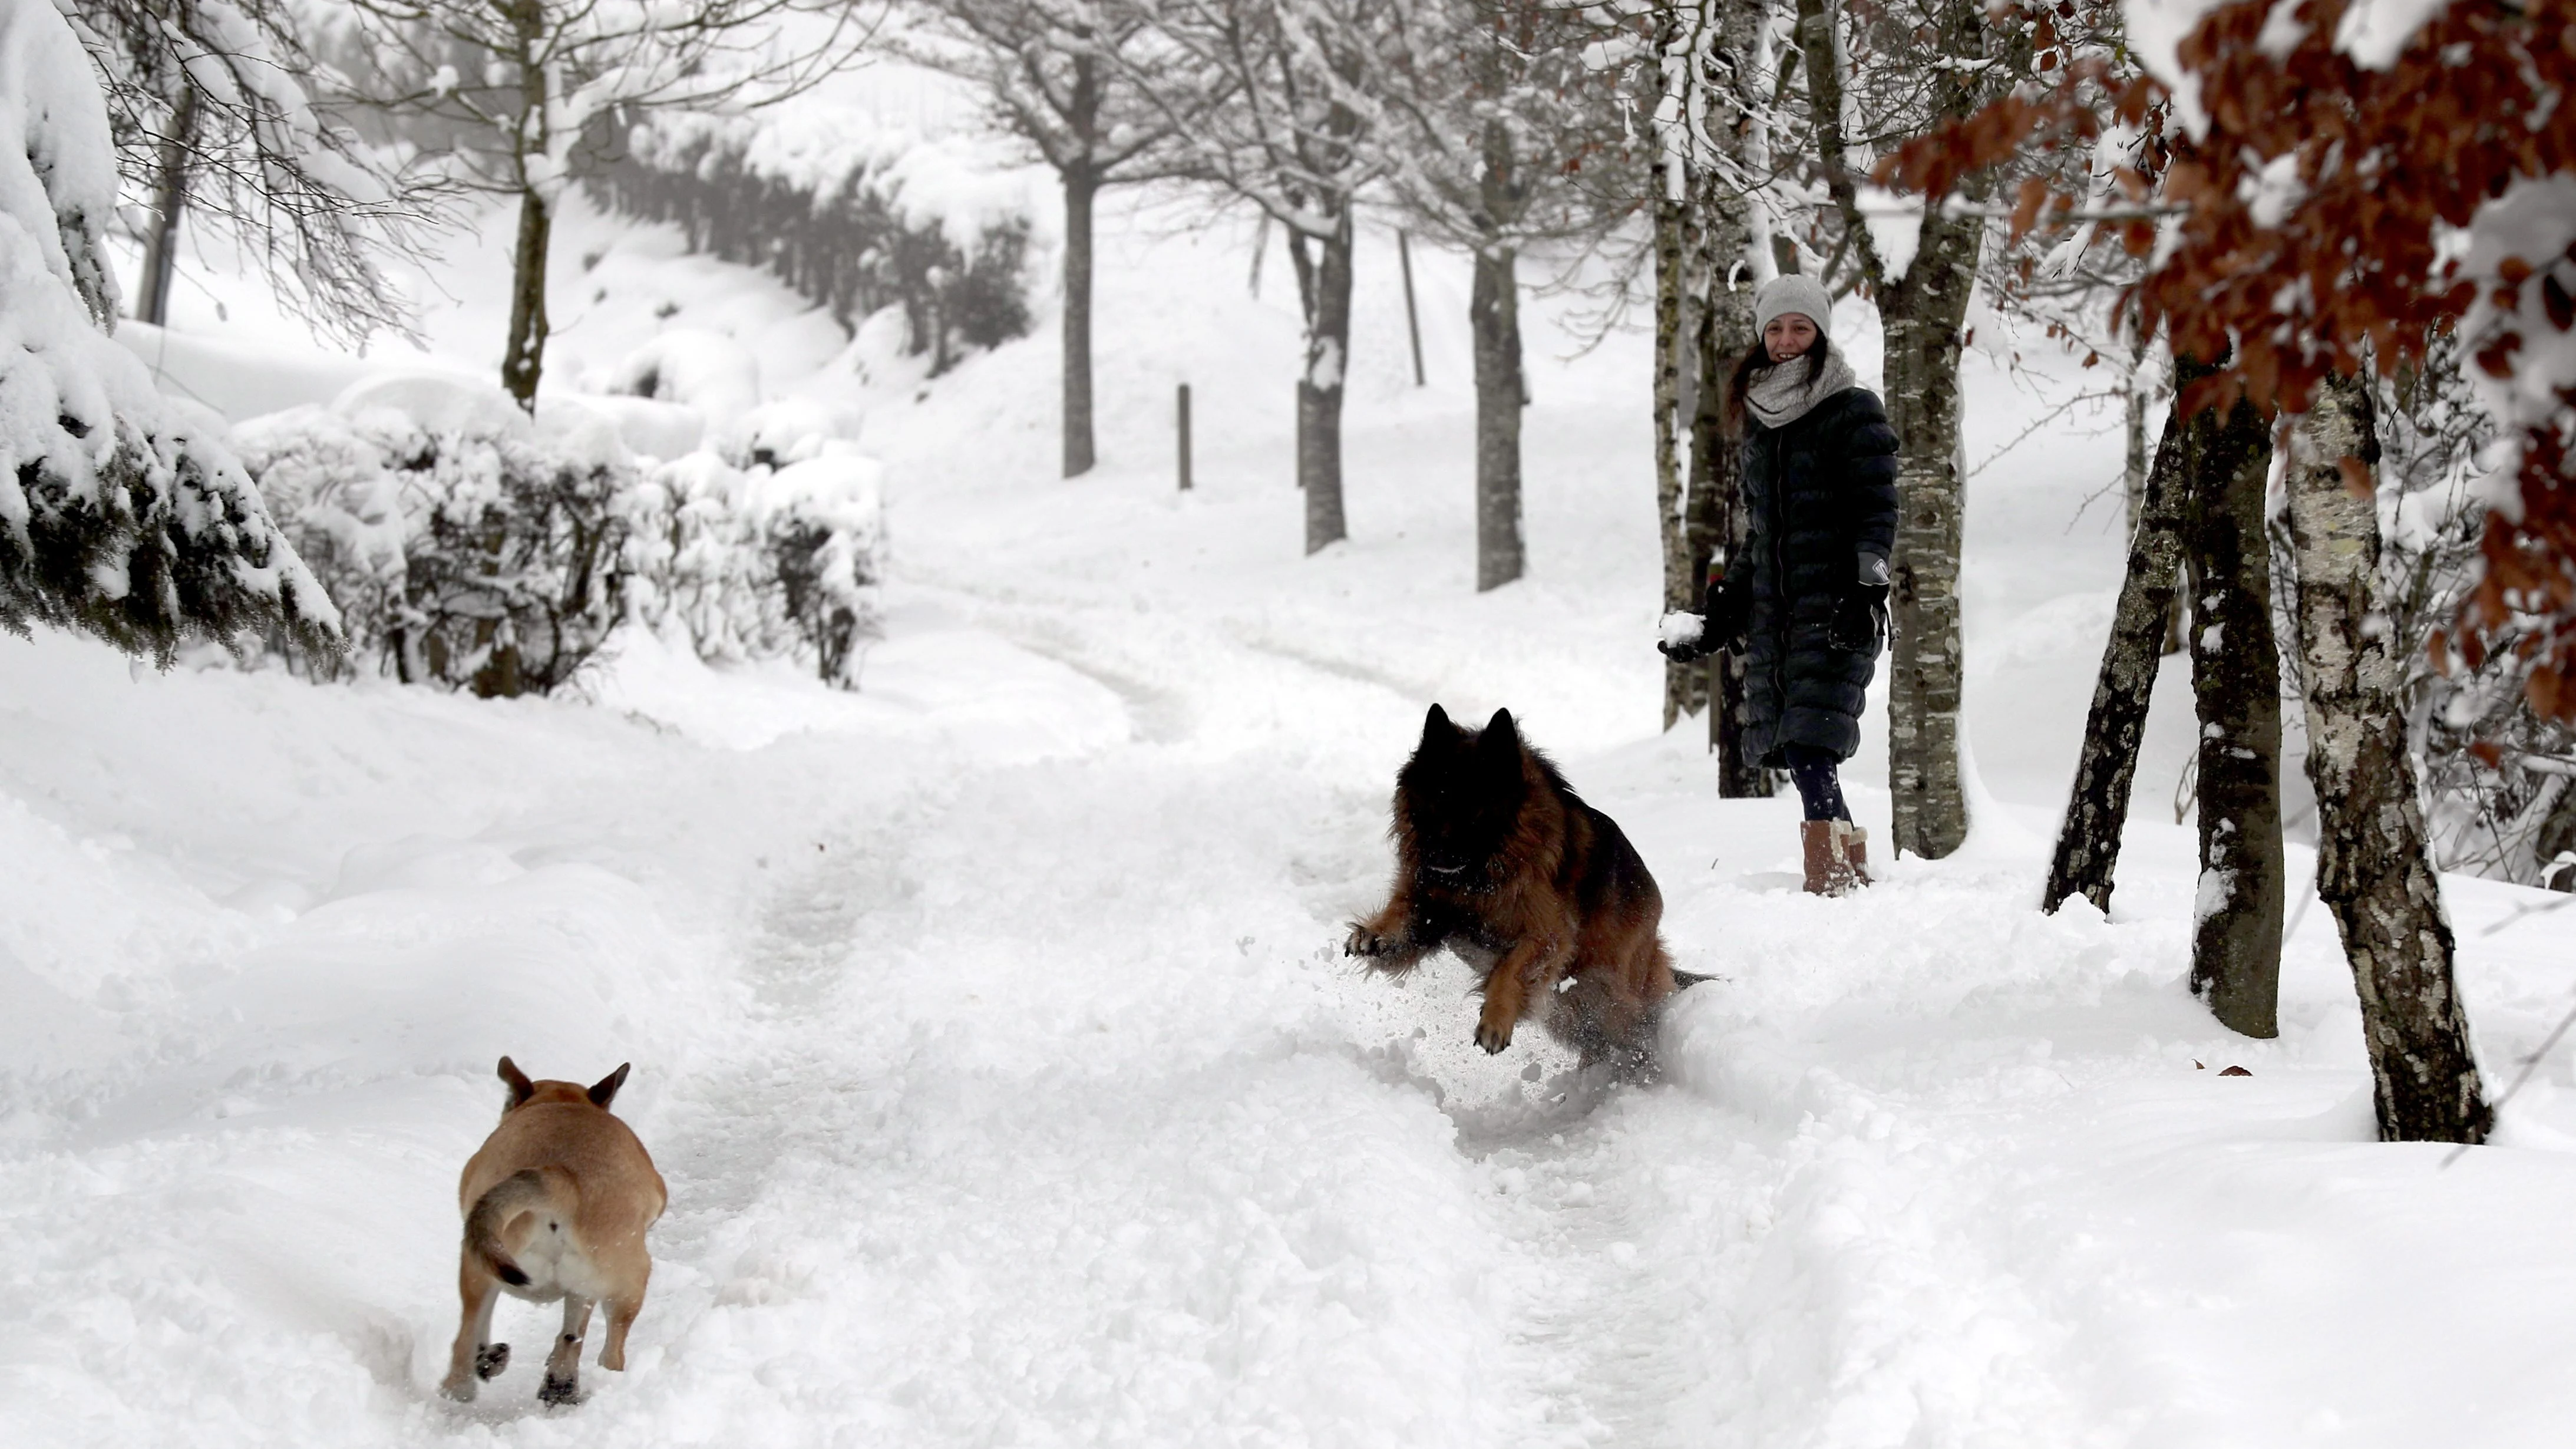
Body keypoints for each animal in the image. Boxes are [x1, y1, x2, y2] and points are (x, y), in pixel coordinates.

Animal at [442, 1057, 669, 1402]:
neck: (564, 1102)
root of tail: (561, 1180)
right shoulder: (585, 1291)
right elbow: (574, 1332)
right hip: (626, 1283)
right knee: (609, 1353)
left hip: (481, 1264)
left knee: (467, 1337)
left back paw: (468, 1384)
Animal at [1349, 706, 1690, 1067]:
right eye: (1436, 799)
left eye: (1472, 809)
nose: (1437, 859)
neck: (1478, 877)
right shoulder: (1431, 908)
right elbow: (1403, 913)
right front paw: (1375, 933)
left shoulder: (1548, 935)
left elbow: (1511, 969)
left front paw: (1495, 1020)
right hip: (1576, 1009)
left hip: (1605, 995)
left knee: (1634, 1035)